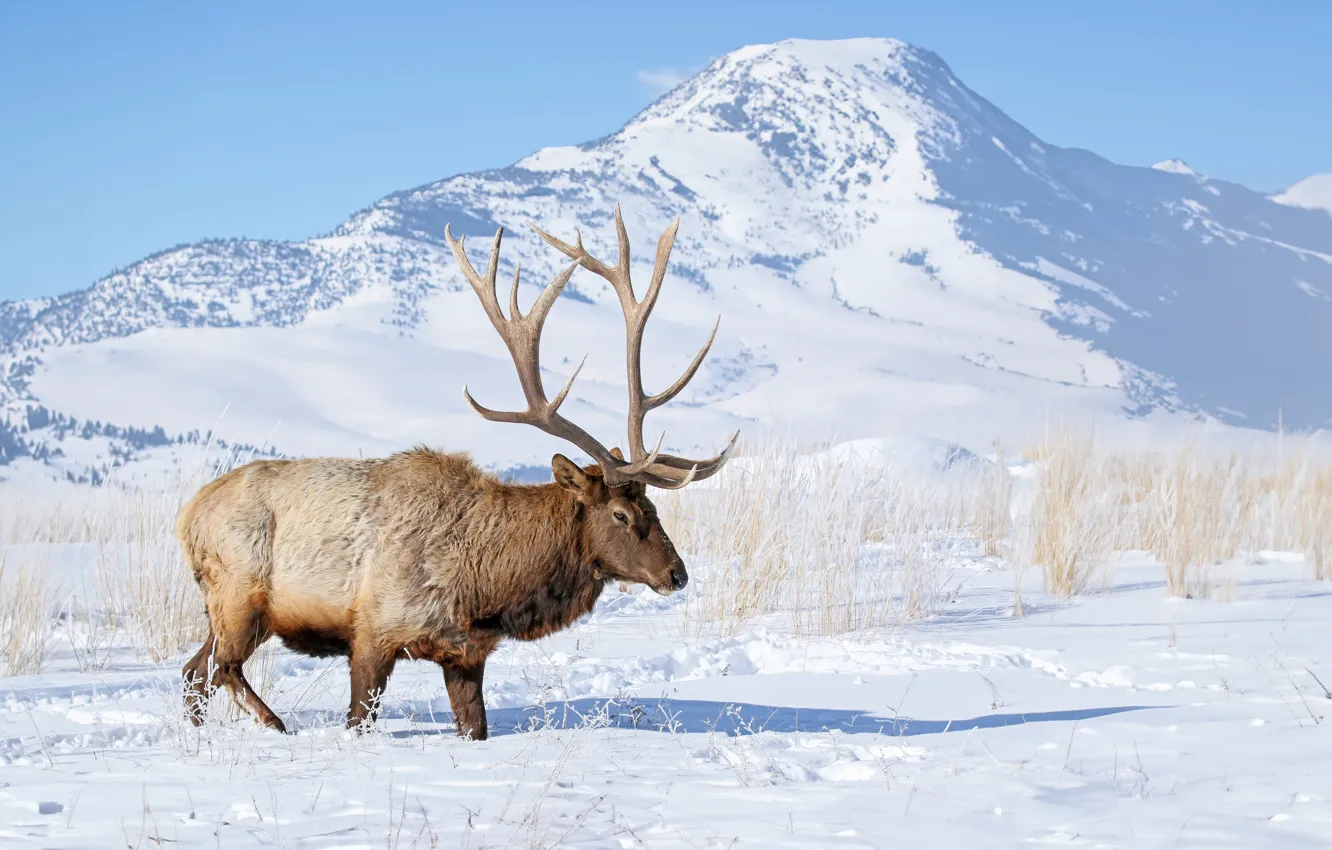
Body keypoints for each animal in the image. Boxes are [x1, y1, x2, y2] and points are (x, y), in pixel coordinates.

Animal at [175, 204, 736, 740]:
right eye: (620, 514)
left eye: (653, 507)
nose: (677, 573)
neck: (488, 588)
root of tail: (186, 517)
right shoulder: (374, 632)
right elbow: (358, 720)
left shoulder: (466, 654)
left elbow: (475, 728)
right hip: (238, 593)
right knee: (222, 666)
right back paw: (276, 724)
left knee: (192, 672)